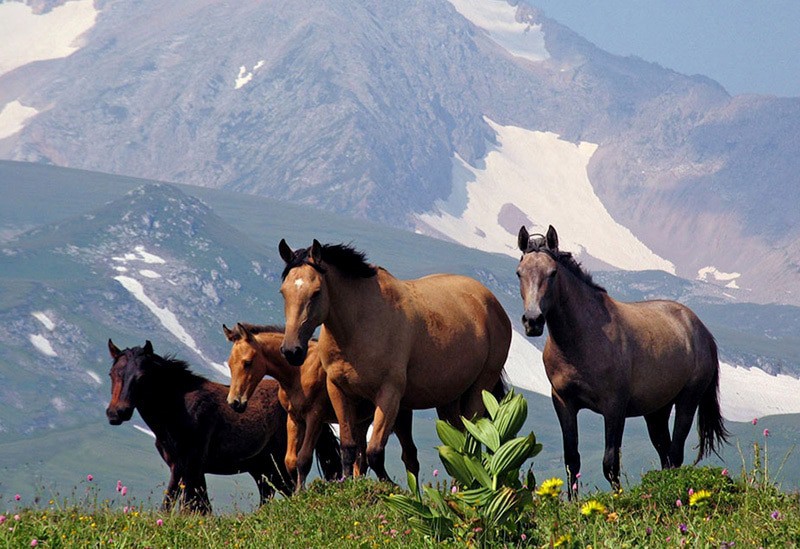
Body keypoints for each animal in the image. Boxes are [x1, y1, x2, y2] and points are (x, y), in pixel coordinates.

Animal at [220, 322, 418, 488]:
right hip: (360, 423)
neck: (299, 373)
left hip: (398, 417)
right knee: (360, 459)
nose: (235, 402)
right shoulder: (294, 419)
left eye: (247, 362)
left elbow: (304, 459)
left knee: (409, 457)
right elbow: (290, 461)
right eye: (229, 364)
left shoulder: (315, 417)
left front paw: (300, 492)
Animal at [278, 238, 510, 478]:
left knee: (472, 442)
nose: (292, 351)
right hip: (448, 401)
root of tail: (490, 302)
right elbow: (349, 450)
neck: (359, 325)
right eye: (283, 292)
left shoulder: (389, 394)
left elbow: (374, 453)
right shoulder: (339, 391)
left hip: (479, 389)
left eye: (316, 292)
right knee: (460, 445)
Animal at [516, 225, 728, 494]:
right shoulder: (564, 403)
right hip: (656, 412)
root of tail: (701, 330)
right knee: (666, 454)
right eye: (519, 273)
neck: (583, 338)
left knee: (675, 454)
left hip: (687, 403)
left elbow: (610, 463)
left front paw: (617, 498)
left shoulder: (614, 408)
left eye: (552, 273)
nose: (532, 321)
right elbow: (572, 460)